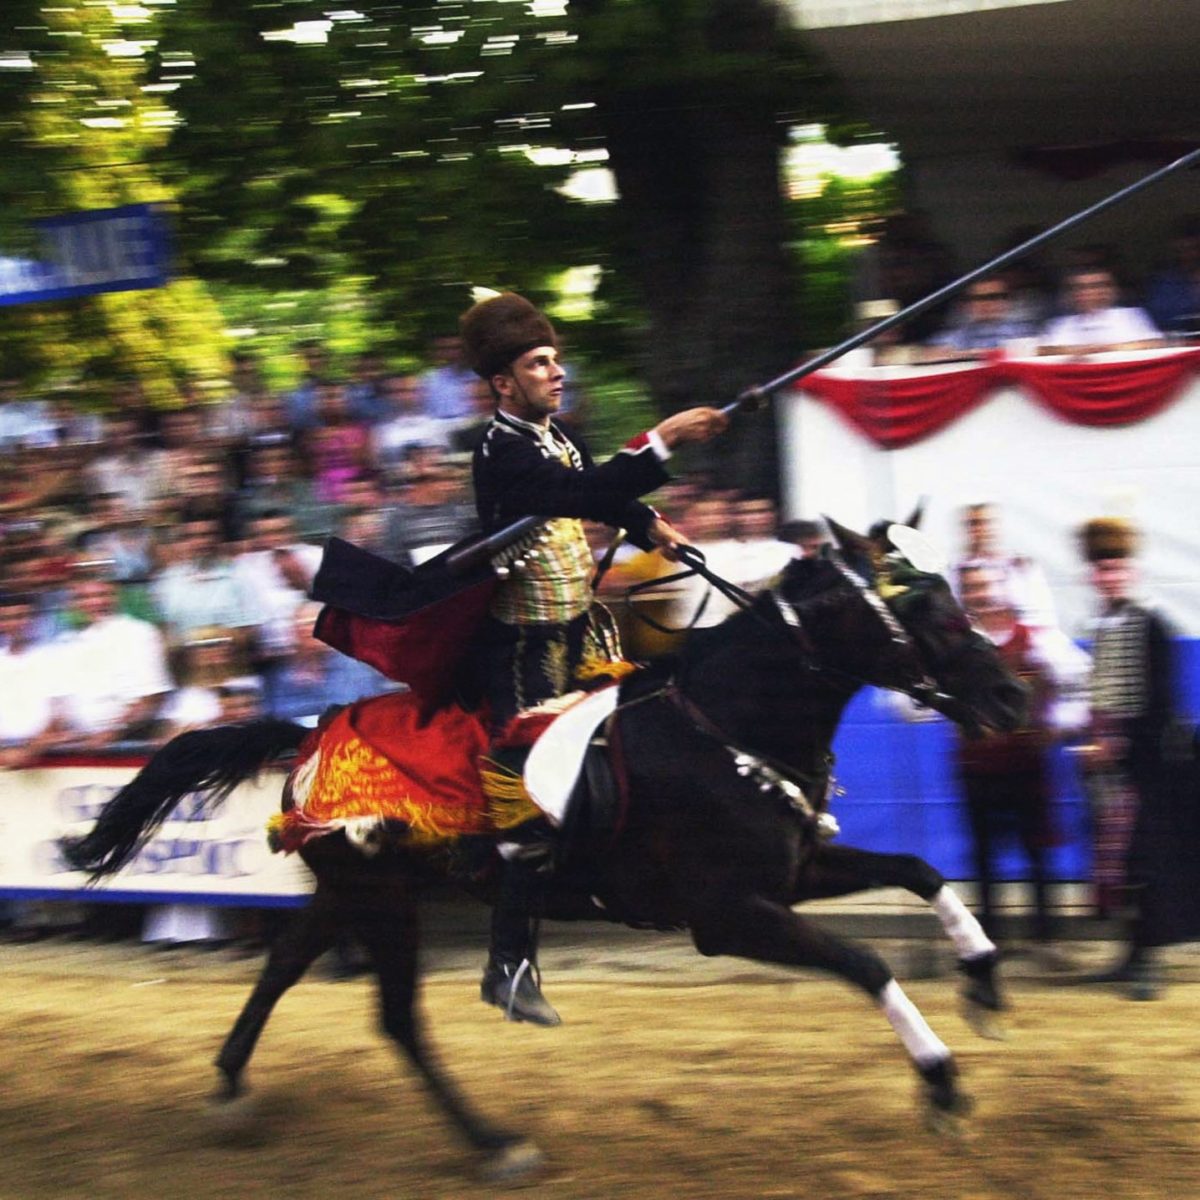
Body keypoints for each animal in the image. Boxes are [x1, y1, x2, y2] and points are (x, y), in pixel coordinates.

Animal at [63, 518, 1022, 1180]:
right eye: (921, 606)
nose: (1012, 697)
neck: (724, 720)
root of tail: (309, 733)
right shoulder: (727, 915)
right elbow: (866, 962)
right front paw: (942, 1083)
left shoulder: (790, 876)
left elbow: (920, 871)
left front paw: (982, 979)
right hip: (384, 900)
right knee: (396, 1018)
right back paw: (495, 1144)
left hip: (351, 891)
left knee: (282, 967)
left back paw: (230, 1091)